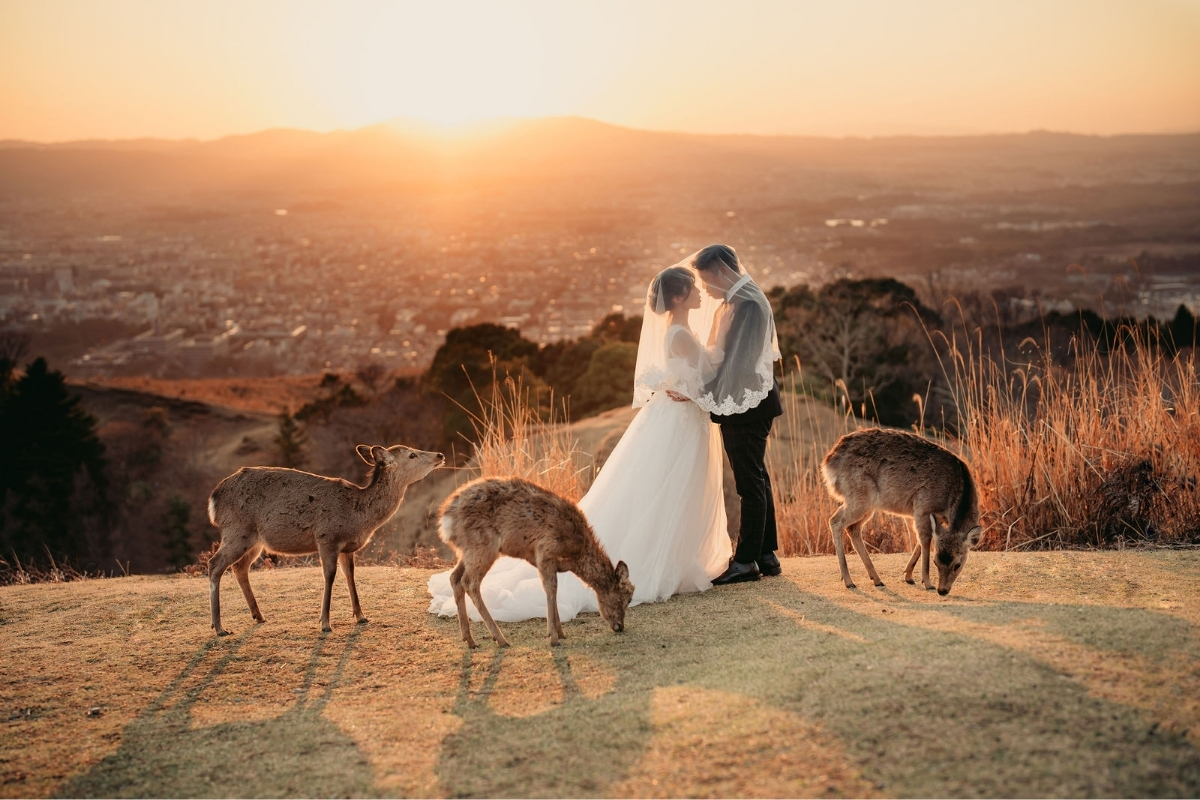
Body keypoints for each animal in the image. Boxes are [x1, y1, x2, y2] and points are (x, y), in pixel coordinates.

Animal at [206, 441, 446, 633]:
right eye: (412, 455)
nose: (440, 455)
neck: (359, 517)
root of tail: (213, 498)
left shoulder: (347, 547)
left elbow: (350, 575)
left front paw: (361, 616)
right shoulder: (327, 537)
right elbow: (329, 576)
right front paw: (325, 623)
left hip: (253, 540)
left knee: (239, 567)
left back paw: (258, 615)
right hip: (237, 530)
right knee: (215, 564)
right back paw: (219, 627)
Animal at [436, 479, 633, 647]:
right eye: (627, 598)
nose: (619, 626)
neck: (576, 554)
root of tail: (446, 520)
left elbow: (553, 590)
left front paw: (559, 632)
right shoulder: (545, 551)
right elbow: (551, 588)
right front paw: (554, 638)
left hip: (468, 550)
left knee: (454, 578)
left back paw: (469, 640)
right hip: (483, 546)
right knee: (470, 582)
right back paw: (501, 639)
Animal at [825, 431, 984, 594]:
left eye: (957, 564)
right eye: (935, 561)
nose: (942, 590)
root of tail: (828, 463)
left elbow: (921, 541)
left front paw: (908, 576)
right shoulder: (922, 506)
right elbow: (925, 540)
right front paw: (927, 583)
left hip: (867, 505)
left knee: (853, 528)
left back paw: (876, 579)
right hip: (859, 498)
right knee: (835, 521)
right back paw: (849, 581)